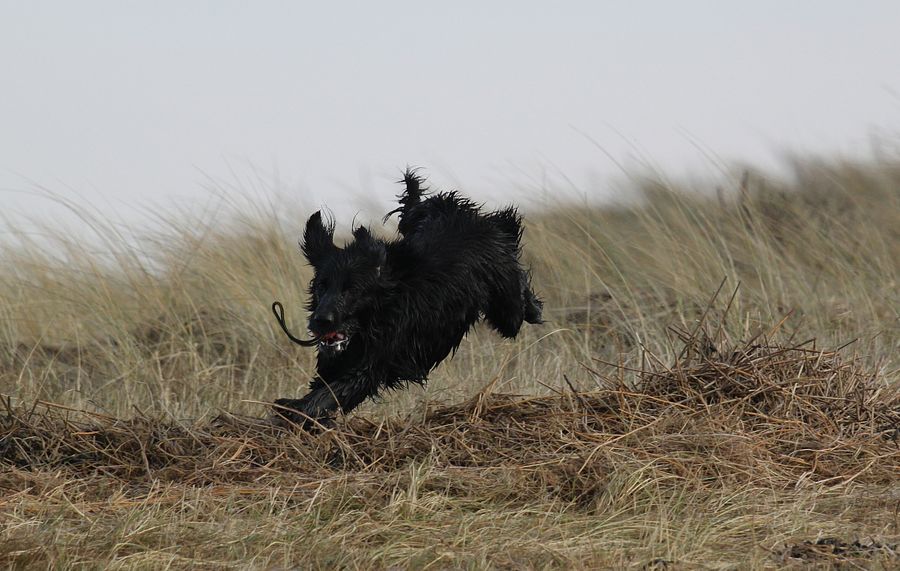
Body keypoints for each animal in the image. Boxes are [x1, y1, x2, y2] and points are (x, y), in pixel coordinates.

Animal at [272, 169, 542, 427]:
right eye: (322, 286)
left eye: (352, 289)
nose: (320, 321)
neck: (382, 308)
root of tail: (459, 210)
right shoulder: (336, 363)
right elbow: (323, 389)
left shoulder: (370, 365)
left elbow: (329, 394)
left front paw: (293, 411)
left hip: (507, 309)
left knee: (516, 280)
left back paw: (534, 308)